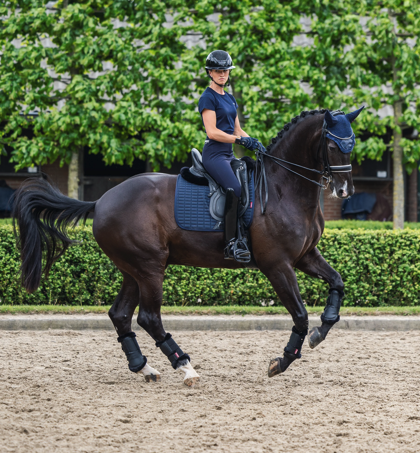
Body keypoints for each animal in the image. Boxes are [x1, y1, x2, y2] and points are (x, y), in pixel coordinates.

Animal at [13, 108, 360, 384]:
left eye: (353, 142)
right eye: (332, 145)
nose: (344, 190)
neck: (281, 188)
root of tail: (100, 202)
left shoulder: (304, 256)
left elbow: (337, 283)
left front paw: (320, 332)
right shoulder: (277, 265)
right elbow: (300, 314)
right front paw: (282, 361)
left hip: (133, 270)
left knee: (120, 314)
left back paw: (145, 368)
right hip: (150, 268)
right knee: (148, 318)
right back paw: (184, 366)